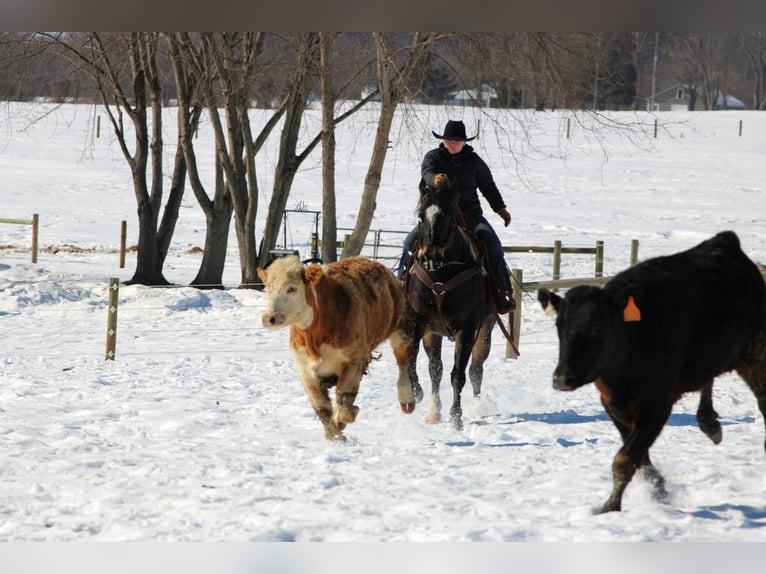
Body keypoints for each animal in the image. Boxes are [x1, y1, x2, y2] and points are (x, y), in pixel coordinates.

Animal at [404, 175, 496, 430]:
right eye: (420, 215)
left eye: (446, 216)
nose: (430, 256)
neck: (440, 276)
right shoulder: (418, 323)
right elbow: (412, 359)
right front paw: (415, 393)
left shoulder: (467, 330)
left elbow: (459, 375)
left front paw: (456, 417)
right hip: (433, 333)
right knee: (435, 369)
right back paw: (433, 412)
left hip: (485, 331)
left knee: (475, 370)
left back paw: (476, 407)